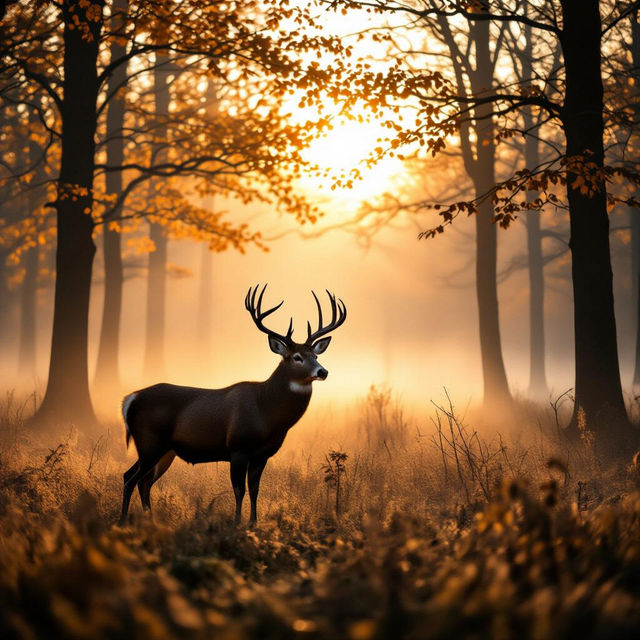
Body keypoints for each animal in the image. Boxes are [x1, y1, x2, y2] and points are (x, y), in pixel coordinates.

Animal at [118, 284, 347, 526]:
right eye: (296, 357)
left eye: (315, 355)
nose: (322, 371)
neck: (266, 412)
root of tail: (130, 399)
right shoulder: (237, 446)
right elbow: (239, 489)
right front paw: (237, 522)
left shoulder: (262, 455)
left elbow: (255, 489)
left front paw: (253, 523)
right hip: (149, 442)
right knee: (130, 477)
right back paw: (123, 520)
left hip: (165, 450)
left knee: (144, 482)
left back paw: (150, 520)